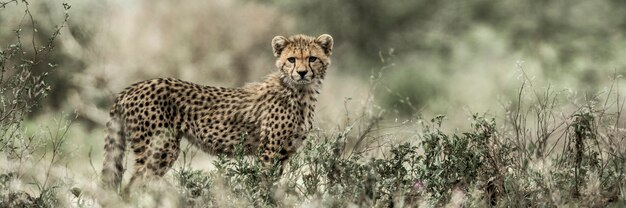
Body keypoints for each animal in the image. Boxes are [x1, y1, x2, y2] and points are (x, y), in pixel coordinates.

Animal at [100, 34, 332, 192]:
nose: (301, 72)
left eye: (312, 58)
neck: (301, 92)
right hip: (160, 148)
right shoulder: (269, 152)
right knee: (133, 186)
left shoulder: (283, 154)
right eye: (292, 59)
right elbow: (264, 186)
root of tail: (131, 88)